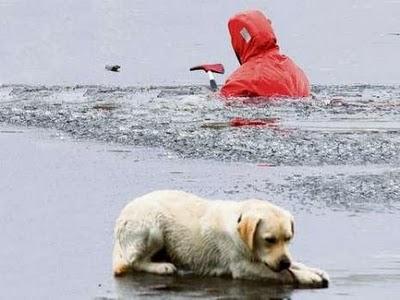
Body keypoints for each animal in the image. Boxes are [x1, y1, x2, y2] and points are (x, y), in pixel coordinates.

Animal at [111, 190, 328, 288]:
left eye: (288, 238)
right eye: (269, 239)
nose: (284, 261)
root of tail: (121, 216)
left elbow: (295, 264)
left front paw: (314, 270)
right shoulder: (243, 267)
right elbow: (283, 273)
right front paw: (307, 277)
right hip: (152, 227)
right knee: (132, 262)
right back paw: (162, 267)